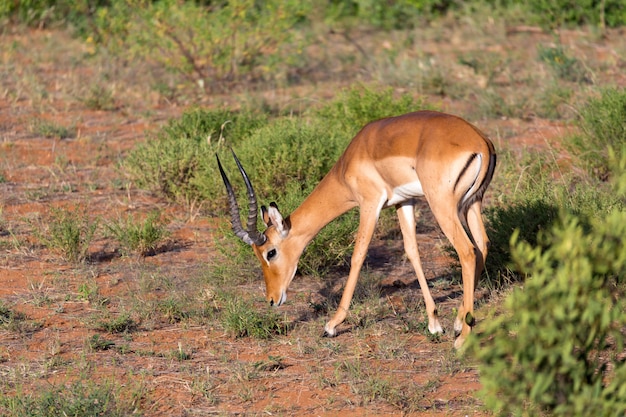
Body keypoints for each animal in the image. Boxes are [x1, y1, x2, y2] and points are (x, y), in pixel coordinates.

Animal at [217, 110, 494, 348]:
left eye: (270, 252)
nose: (272, 299)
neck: (352, 159)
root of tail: (481, 143)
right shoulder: (404, 202)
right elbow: (412, 251)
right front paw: (434, 323)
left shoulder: (369, 204)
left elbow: (358, 256)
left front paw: (331, 325)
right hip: (471, 203)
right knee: (482, 245)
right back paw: (459, 322)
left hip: (442, 205)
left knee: (467, 251)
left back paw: (462, 338)